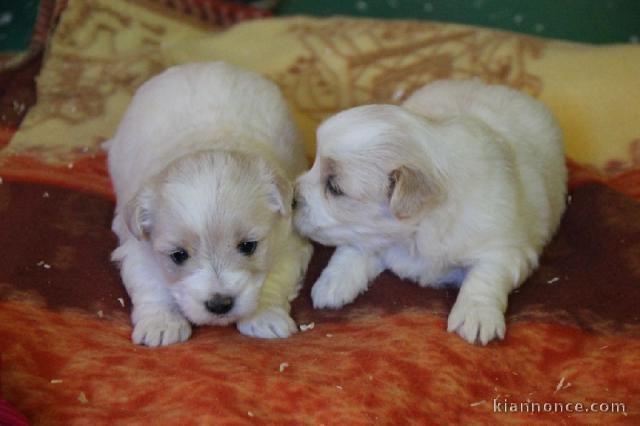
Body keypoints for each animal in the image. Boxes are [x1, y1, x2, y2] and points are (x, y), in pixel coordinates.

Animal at [107, 60, 312, 346]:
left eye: (248, 246)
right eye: (178, 255)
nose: (219, 304)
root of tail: (200, 64)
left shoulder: (288, 244)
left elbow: (274, 279)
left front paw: (264, 317)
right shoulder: (138, 251)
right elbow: (153, 287)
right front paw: (161, 324)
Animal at [292, 80, 568, 346]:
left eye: (334, 187)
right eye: (314, 163)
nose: (292, 197)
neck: (416, 233)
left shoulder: (505, 248)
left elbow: (485, 276)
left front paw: (475, 315)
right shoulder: (370, 234)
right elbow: (352, 249)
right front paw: (331, 283)